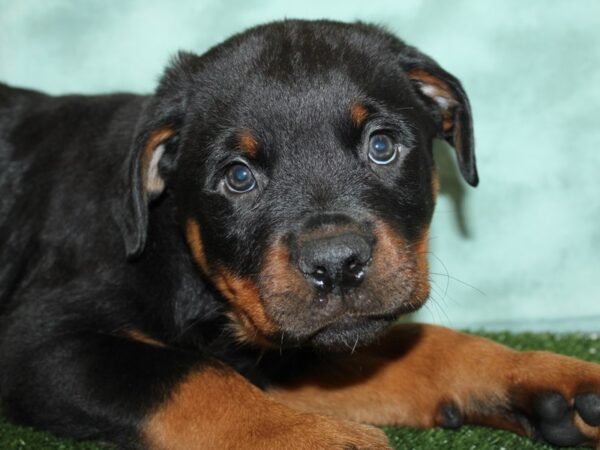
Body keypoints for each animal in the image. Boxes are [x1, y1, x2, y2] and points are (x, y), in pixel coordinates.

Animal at [1, 18, 600, 450]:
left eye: (382, 146)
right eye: (239, 177)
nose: (336, 263)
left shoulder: (301, 339)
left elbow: (418, 346)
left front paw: (547, 378)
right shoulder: (42, 341)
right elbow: (196, 377)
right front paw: (316, 439)